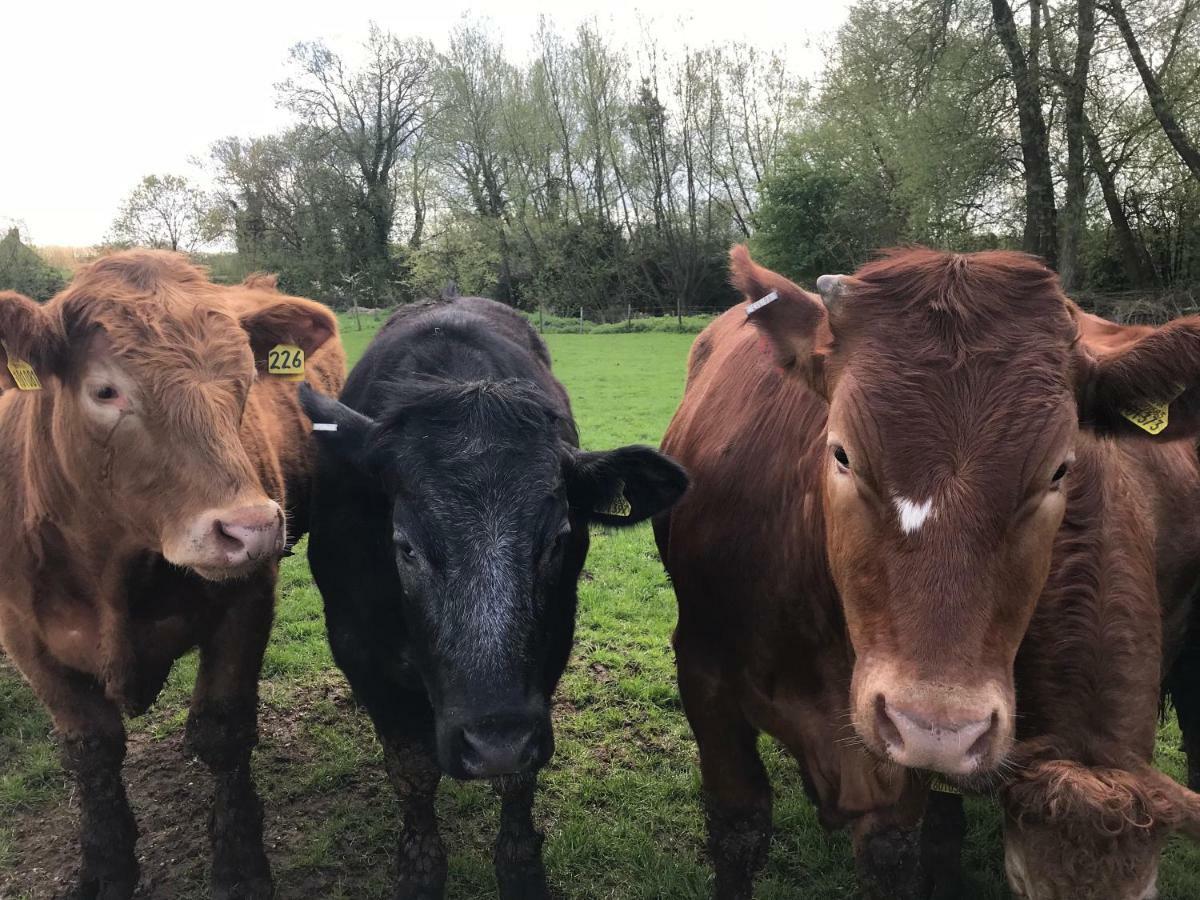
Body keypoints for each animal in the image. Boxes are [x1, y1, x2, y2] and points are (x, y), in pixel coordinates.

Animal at [0, 254, 345, 900]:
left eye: (245, 380)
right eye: (105, 390)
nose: (252, 528)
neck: (112, 568)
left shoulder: (247, 602)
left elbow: (222, 729)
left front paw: (240, 867)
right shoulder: (26, 639)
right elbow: (91, 752)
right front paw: (105, 871)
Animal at [300, 297, 691, 900]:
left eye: (558, 539)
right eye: (405, 545)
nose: (493, 742)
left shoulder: (548, 654)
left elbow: (518, 781)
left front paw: (520, 866)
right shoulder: (358, 647)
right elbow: (412, 771)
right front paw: (420, 869)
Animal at [662, 243, 1200, 897]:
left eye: (1058, 471)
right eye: (841, 453)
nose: (938, 729)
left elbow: (892, 851)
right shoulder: (705, 674)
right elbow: (739, 831)